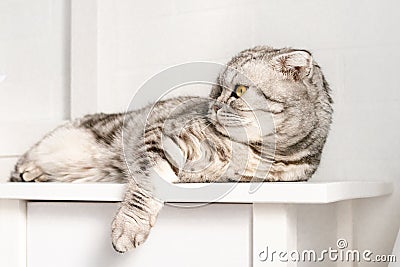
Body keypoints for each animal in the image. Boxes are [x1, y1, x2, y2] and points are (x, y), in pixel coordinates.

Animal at [10, 46, 334, 253]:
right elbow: (145, 189)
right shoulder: (159, 138)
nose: (213, 105)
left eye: (239, 91)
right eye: (215, 91)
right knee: (27, 157)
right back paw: (29, 170)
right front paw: (129, 227)